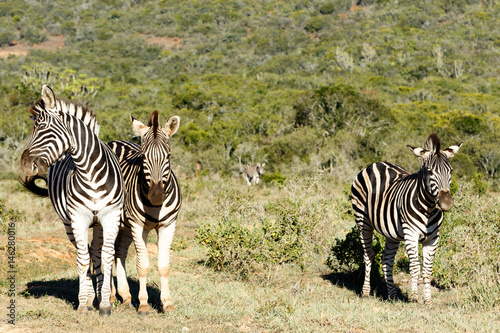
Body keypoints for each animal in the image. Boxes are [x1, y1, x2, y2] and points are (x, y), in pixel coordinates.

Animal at [20, 84, 124, 316]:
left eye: (43, 128)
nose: (24, 165)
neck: (89, 172)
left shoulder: (111, 217)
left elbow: (107, 257)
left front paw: (105, 303)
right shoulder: (78, 219)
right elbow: (82, 259)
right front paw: (84, 303)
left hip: (99, 224)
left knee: (95, 251)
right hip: (68, 224)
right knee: (83, 252)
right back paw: (90, 296)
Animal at [107, 111, 182, 314]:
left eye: (168, 155)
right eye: (144, 157)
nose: (156, 196)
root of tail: (114, 142)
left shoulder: (168, 225)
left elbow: (164, 266)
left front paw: (167, 303)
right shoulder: (138, 226)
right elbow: (143, 265)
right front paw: (143, 304)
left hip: (124, 225)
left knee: (119, 252)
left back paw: (124, 296)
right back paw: (108, 296)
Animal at [352, 133, 460, 304]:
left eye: (450, 170)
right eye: (430, 171)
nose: (446, 203)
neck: (429, 208)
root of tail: (376, 163)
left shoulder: (433, 238)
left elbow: (427, 271)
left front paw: (428, 300)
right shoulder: (411, 234)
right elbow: (415, 267)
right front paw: (415, 297)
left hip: (391, 233)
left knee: (387, 260)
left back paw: (393, 296)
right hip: (363, 221)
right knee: (368, 256)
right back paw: (365, 292)